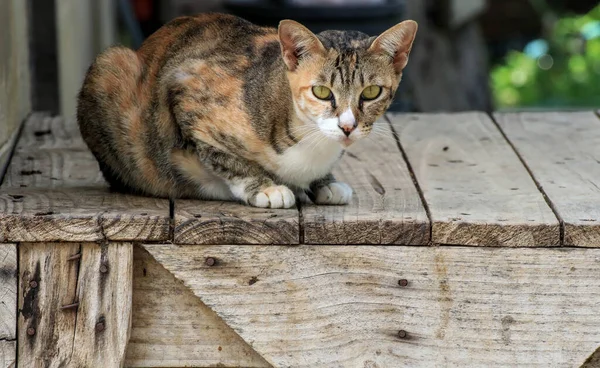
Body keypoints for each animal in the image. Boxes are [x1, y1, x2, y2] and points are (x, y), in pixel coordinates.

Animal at [76, 12, 418, 208]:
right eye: (322, 92)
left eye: (371, 92)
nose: (347, 126)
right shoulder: (186, 94)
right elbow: (224, 158)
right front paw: (265, 188)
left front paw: (326, 182)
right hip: (110, 66)